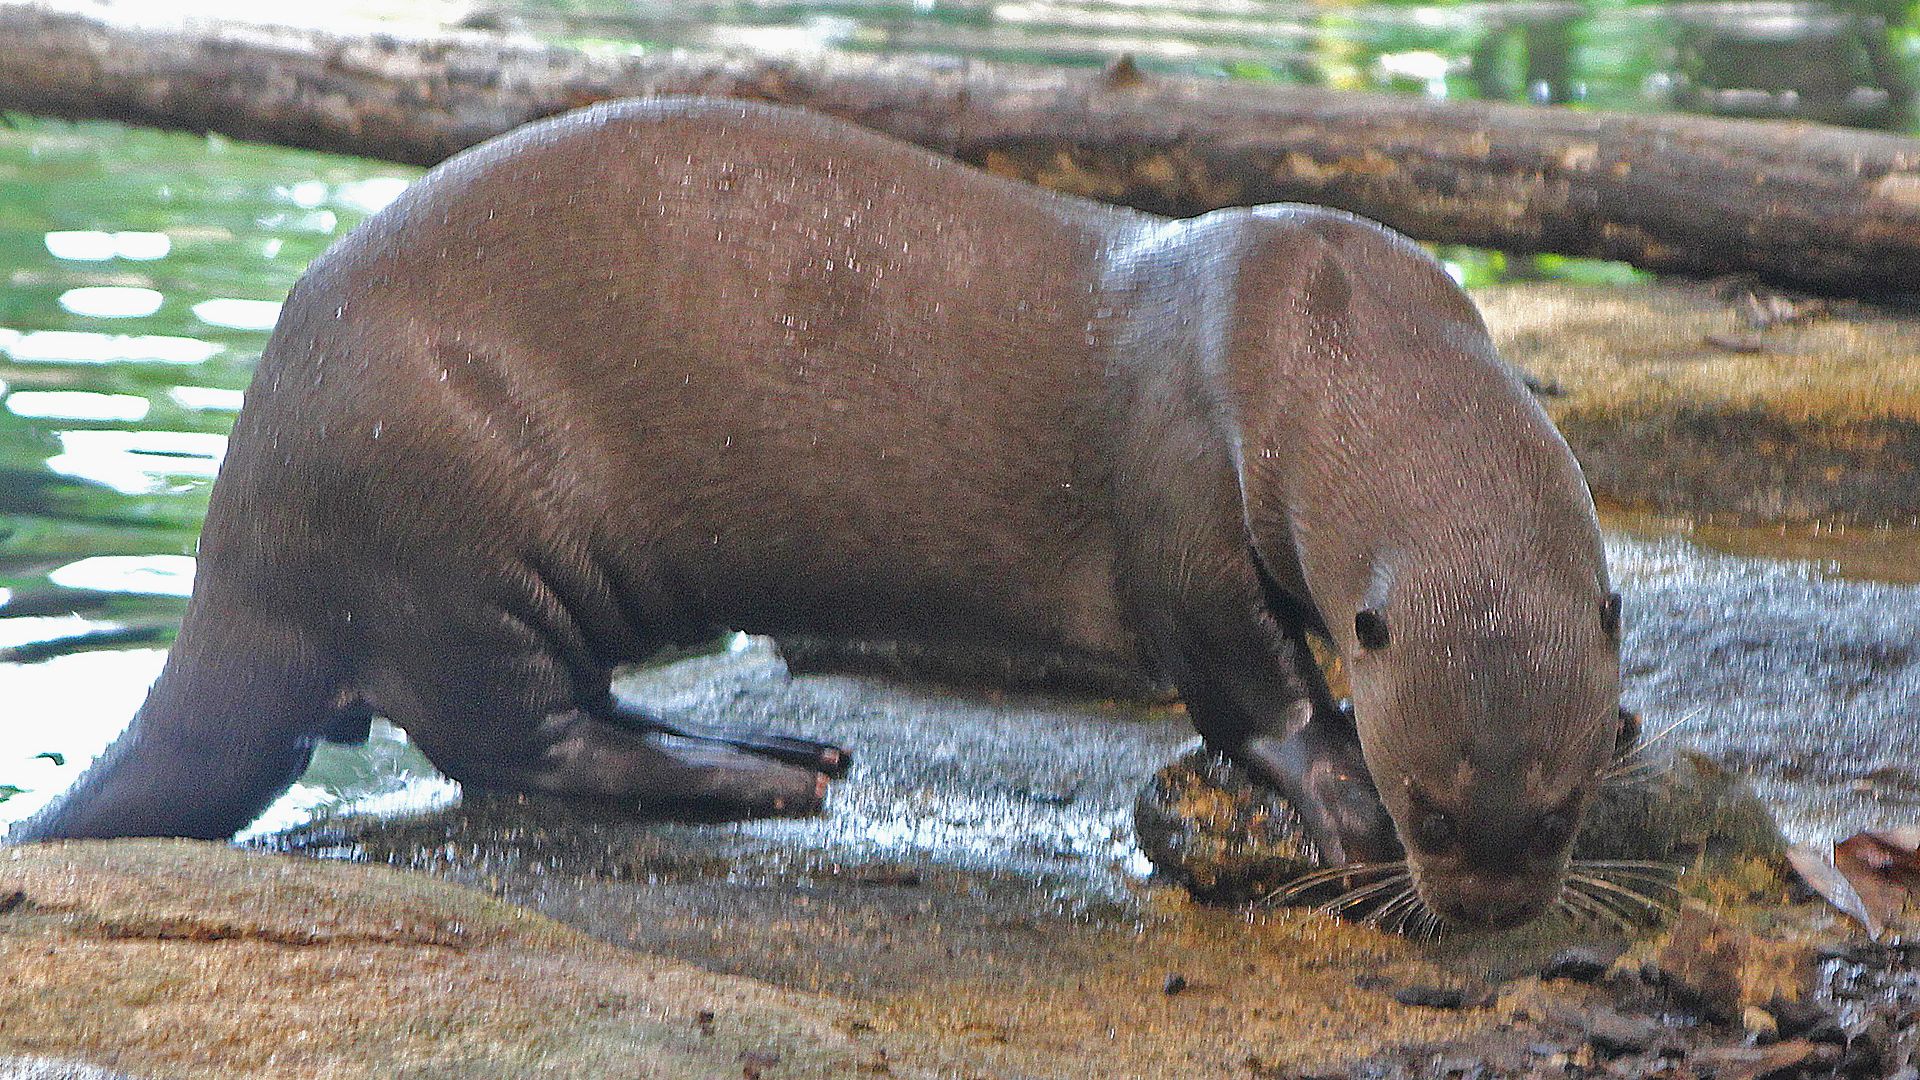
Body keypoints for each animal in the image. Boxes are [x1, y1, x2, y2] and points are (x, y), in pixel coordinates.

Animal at [7, 98, 1628, 926]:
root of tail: (245, 542)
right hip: (444, 527)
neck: (1312, 336)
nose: (1490, 910)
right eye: (1428, 807)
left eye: (1559, 811)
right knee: (514, 740)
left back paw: (774, 745)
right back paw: (746, 774)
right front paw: (1332, 781)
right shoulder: (1181, 493)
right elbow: (1240, 683)